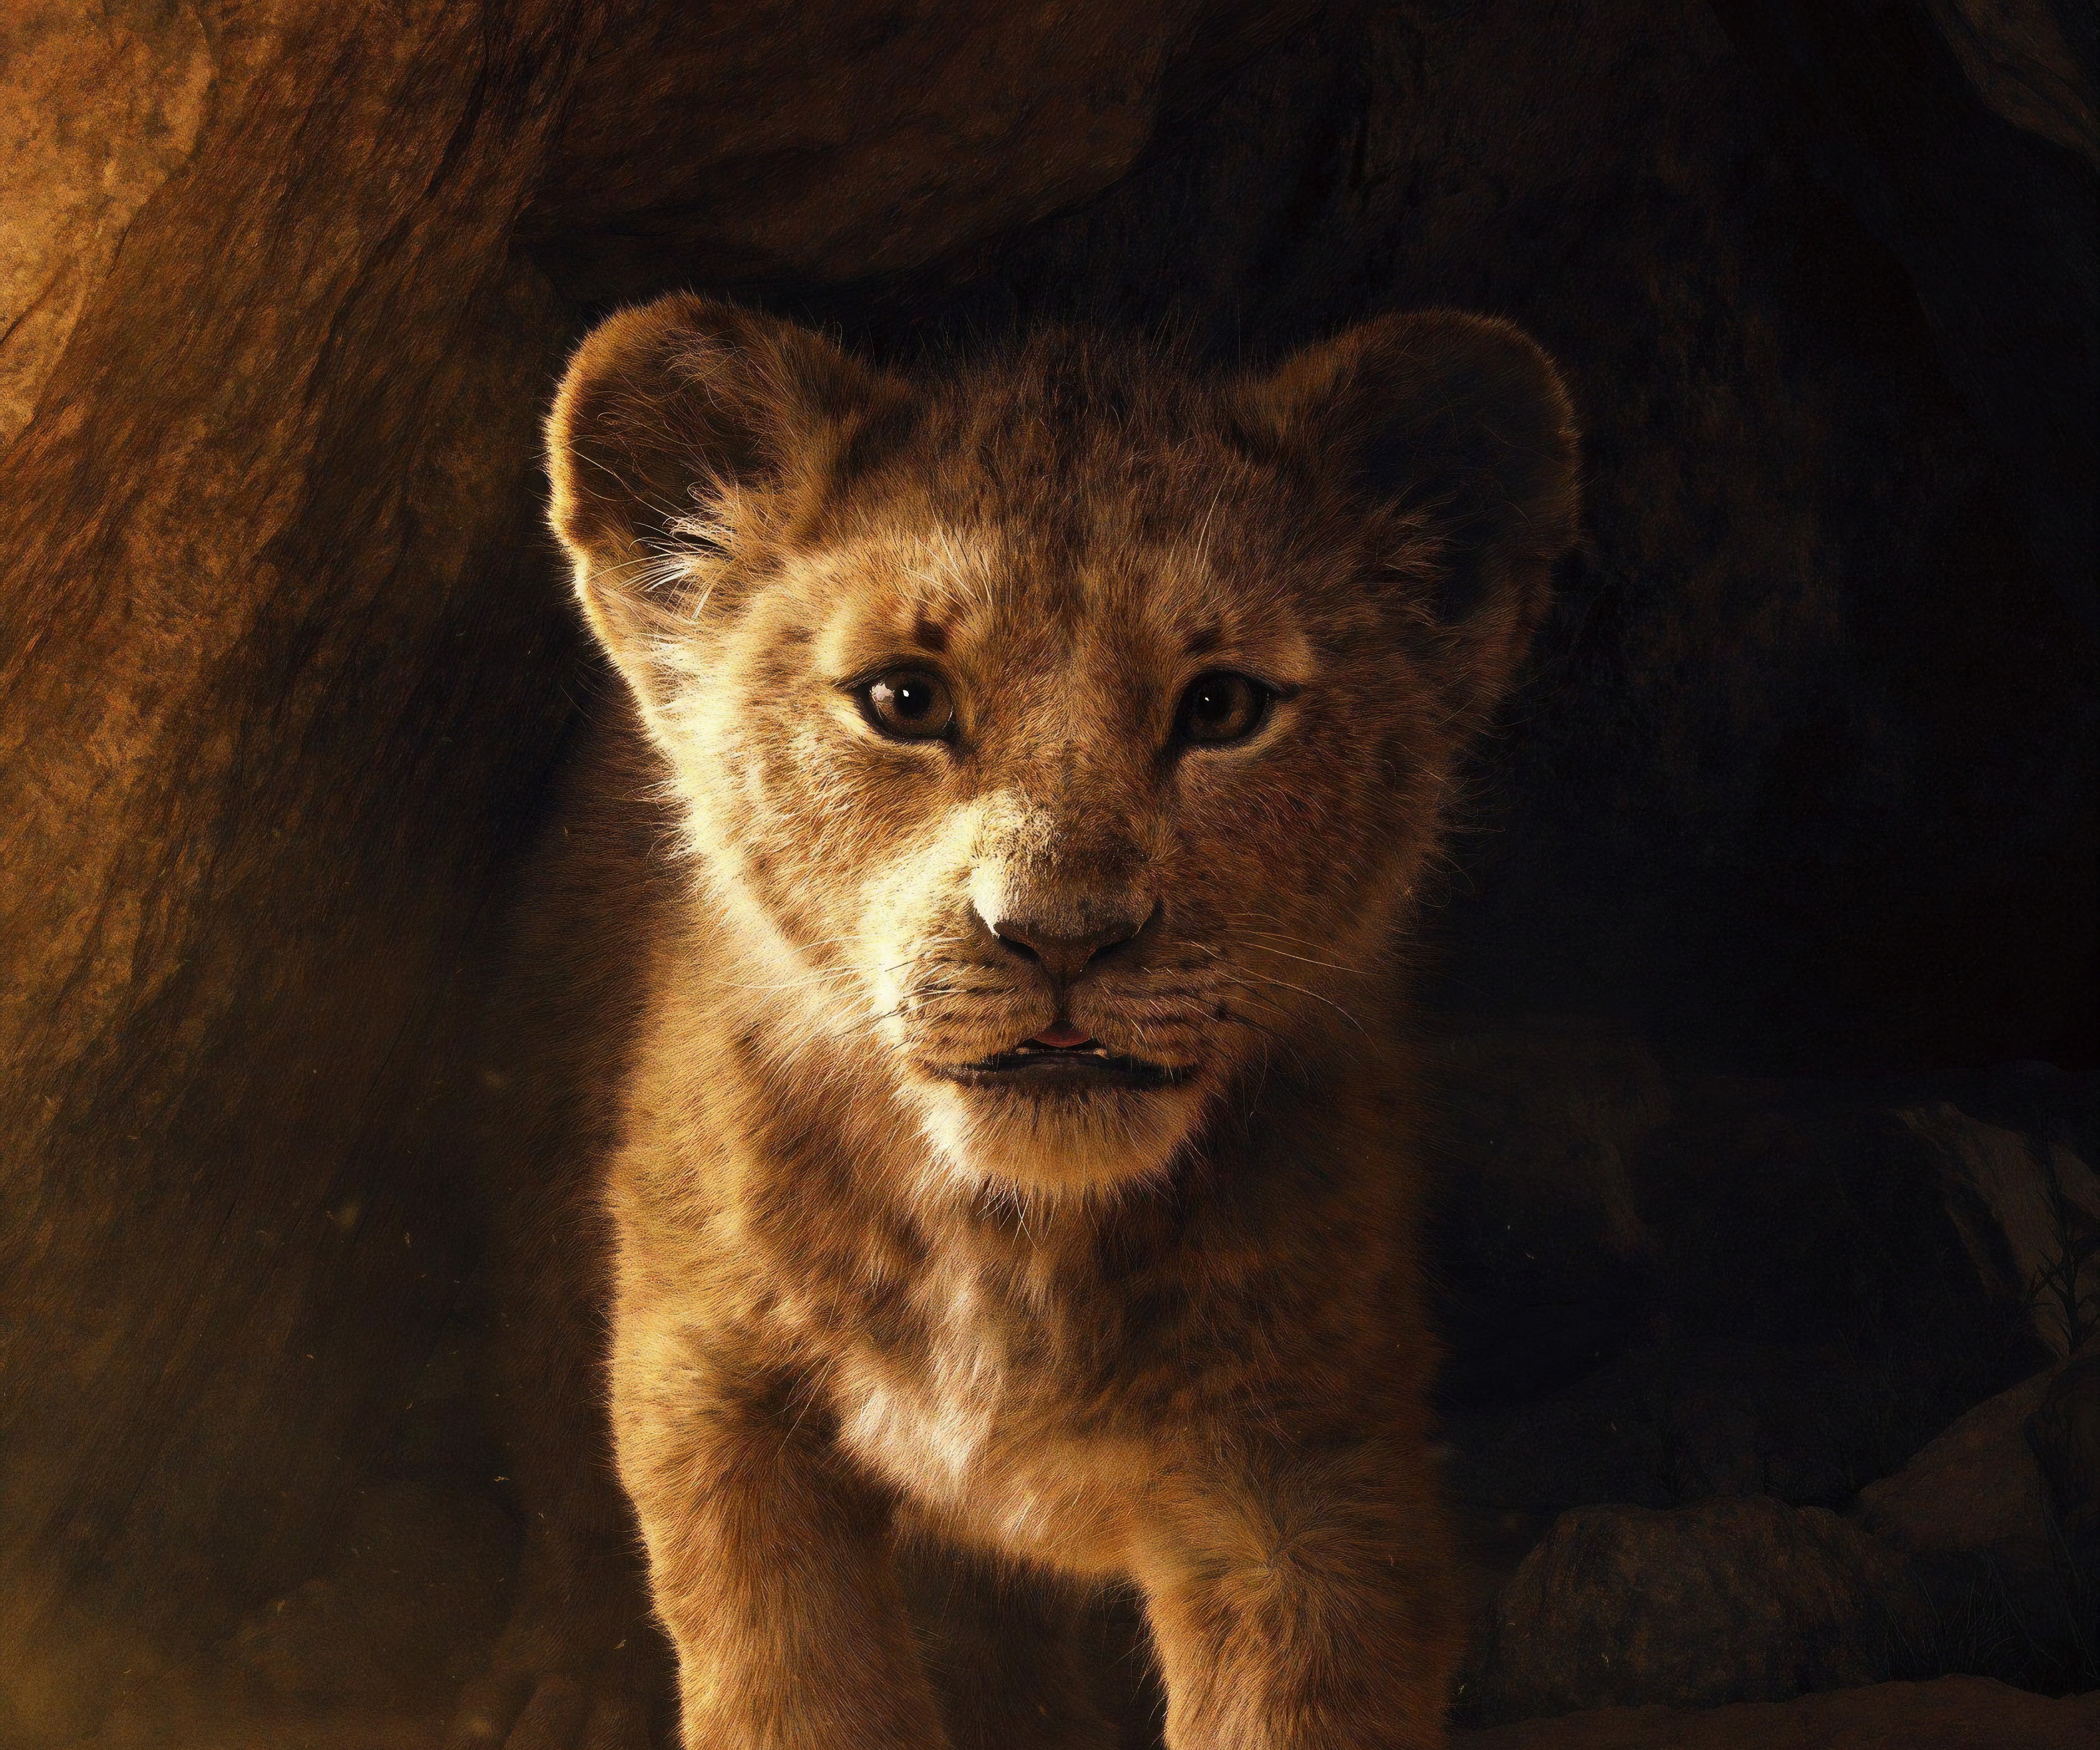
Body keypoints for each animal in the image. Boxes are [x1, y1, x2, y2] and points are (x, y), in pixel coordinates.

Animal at [450, 294, 1578, 1750]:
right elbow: (788, 1683)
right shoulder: (708, 1378)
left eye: (1222, 707)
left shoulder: (1311, 1482)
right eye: (903, 700)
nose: (1060, 934)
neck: (1010, 1242)